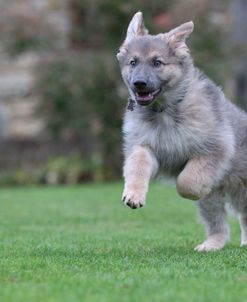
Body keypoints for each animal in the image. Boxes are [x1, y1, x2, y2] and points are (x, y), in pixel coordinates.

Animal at [116, 11, 247, 251]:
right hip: (214, 203)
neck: (165, 110)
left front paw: (192, 190)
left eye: (157, 62)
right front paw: (133, 193)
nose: (139, 83)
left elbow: (186, 181)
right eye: (133, 62)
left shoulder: (215, 147)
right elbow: (137, 166)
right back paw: (211, 244)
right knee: (220, 226)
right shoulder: (144, 145)